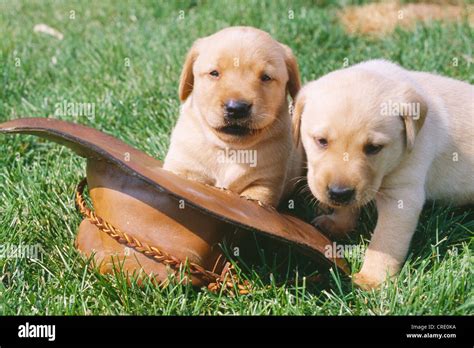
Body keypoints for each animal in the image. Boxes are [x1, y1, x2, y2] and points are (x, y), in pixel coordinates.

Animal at [165, 27, 302, 207]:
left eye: (266, 77)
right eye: (214, 73)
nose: (237, 108)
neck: (229, 149)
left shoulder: (264, 184)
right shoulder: (183, 168)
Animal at [294, 59, 472, 288]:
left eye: (374, 148)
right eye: (321, 141)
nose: (338, 193)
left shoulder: (402, 196)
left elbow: (385, 241)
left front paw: (371, 279)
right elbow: (348, 209)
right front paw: (338, 224)